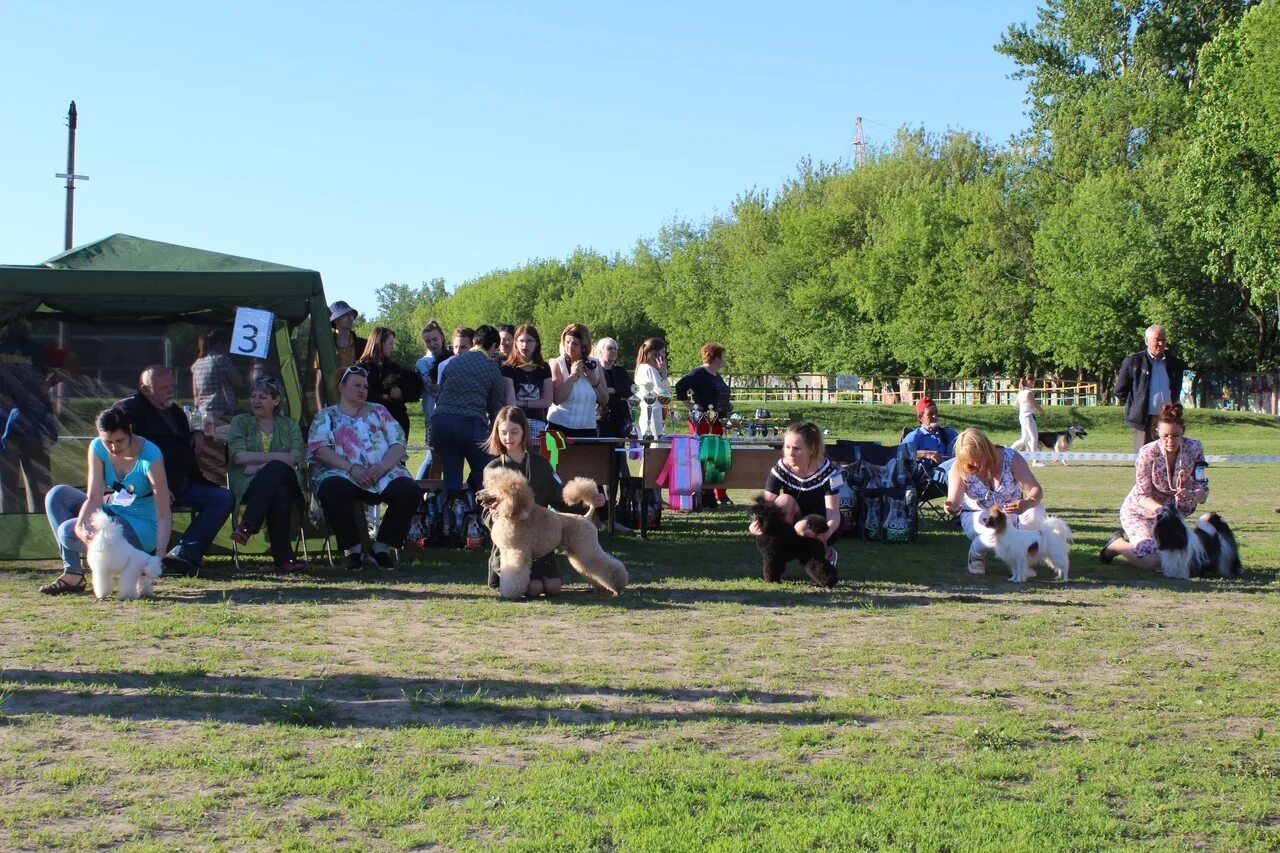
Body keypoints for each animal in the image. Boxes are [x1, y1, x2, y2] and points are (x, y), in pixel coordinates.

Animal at [478, 466, 627, 596]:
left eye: (492, 488)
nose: (477, 494)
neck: (514, 515)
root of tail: (586, 517)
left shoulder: (517, 551)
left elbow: (515, 575)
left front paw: (511, 593)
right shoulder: (507, 552)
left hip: (587, 547)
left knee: (605, 565)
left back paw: (618, 587)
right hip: (578, 551)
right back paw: (602, 588)